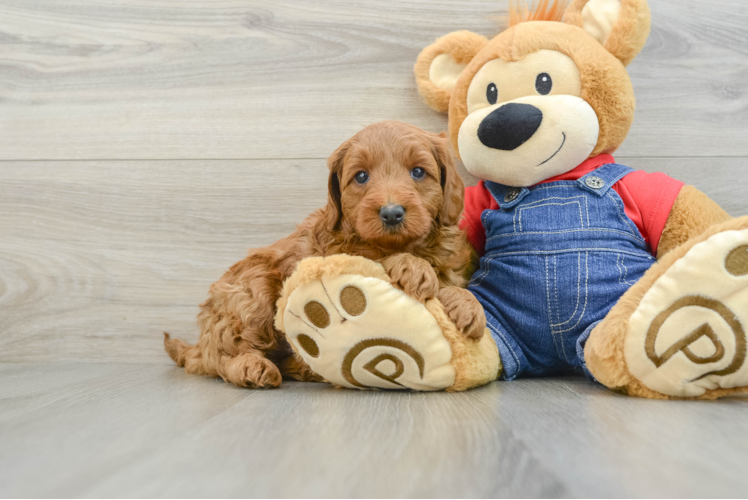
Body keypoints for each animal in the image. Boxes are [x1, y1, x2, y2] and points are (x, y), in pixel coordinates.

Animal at [164, 120, 486, 386]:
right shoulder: (335, 254)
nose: (391, 213)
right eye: (361, 177)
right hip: (250, 292)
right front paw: (414, 267)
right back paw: (251, 367)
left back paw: (301, 368)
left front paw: (467, 305)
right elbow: (377, 260)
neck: (406, 244)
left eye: (418, 172)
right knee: (217, 356)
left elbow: (453, 284)